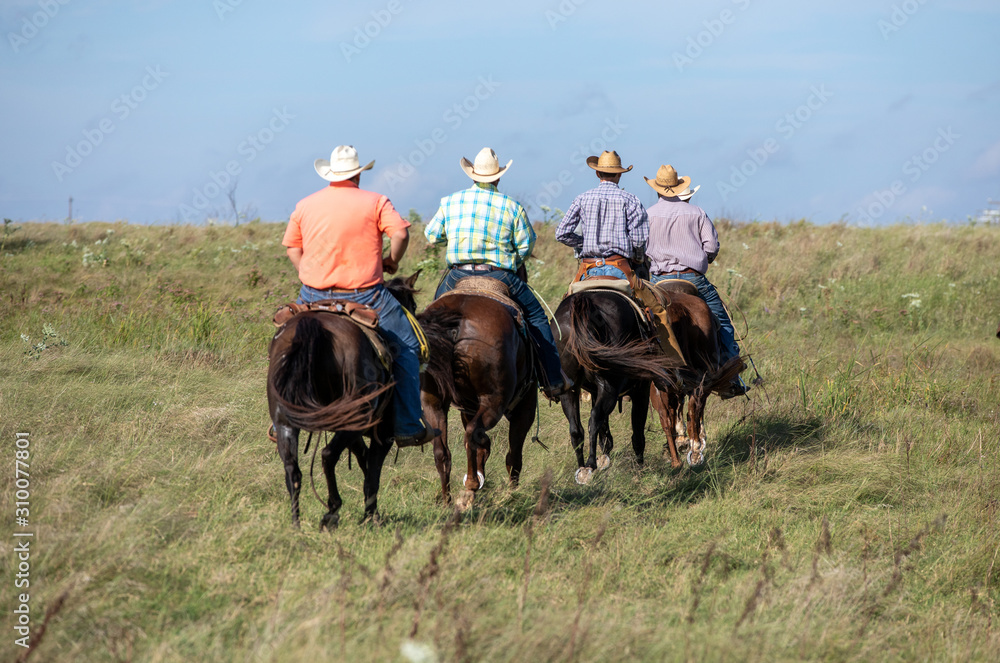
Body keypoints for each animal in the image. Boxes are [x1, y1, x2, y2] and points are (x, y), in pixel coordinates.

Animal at [266, 274, 418, 528]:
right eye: (413, 306)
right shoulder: (382, 433)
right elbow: (372, 473)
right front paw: (372, 516)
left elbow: (364, 460)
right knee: (327, 455)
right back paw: (332, 512)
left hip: (285, 421)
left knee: (292, 469)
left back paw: (296, 524)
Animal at [416, 278, 540, 510]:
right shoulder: (525, 405)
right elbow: (514, 455)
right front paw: (513, 491)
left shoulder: (468, 408)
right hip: (494, 401)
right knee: (473, 434)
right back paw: (472, 484)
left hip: (432, 401)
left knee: (442, 452)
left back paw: (447, 501)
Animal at [552, 284, 684, 482]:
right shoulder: (641, 391)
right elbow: (637, 432)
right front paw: (639, 468)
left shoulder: (594, 391)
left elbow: (605, 433)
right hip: (611, 387)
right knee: (594, 418)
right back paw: (591, 464)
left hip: (570, 391)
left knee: (577, 429)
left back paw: (582, 469)